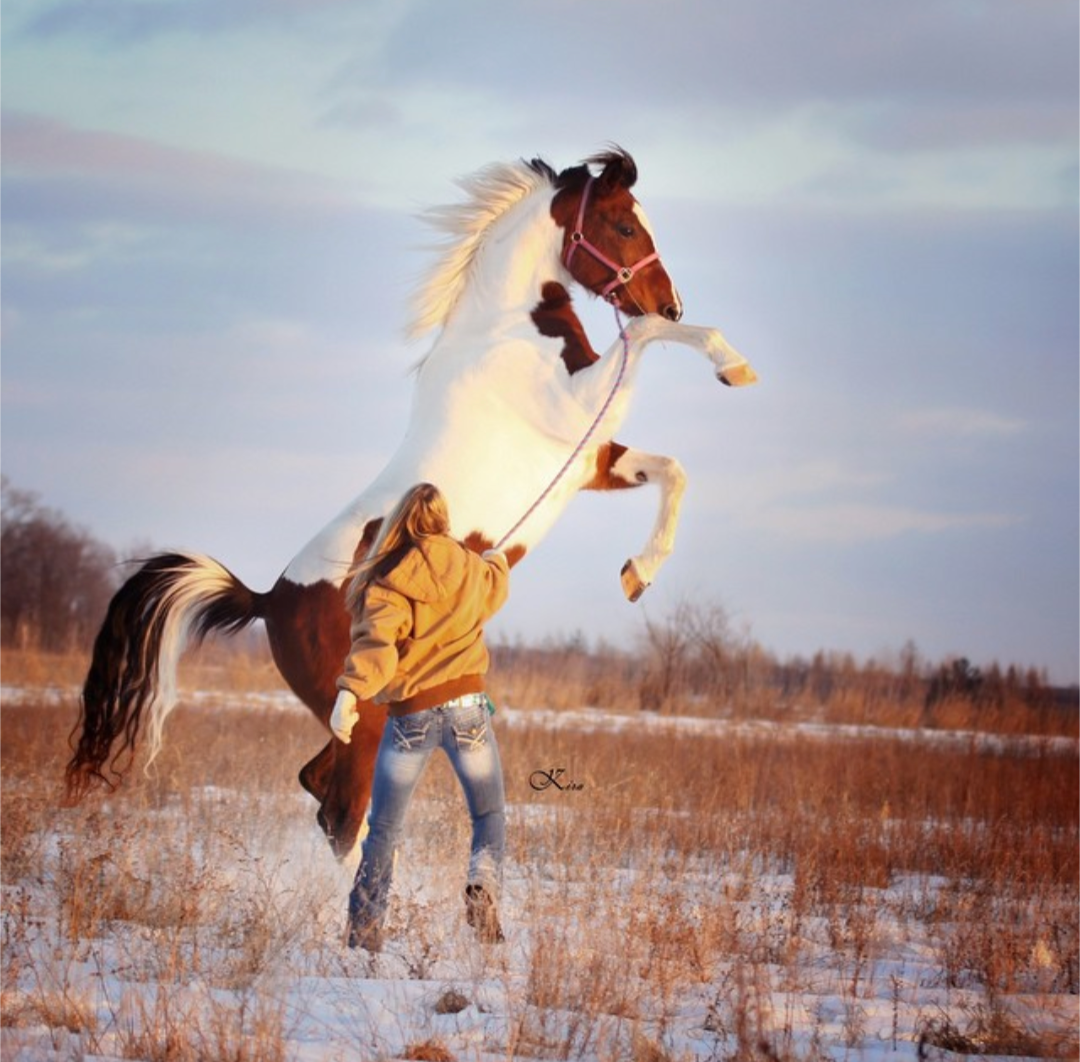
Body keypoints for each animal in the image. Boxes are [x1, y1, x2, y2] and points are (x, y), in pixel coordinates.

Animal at [65, 147, 757, 863]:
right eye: (623, 225)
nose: (671, 302)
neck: (504, 330)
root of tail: (268, 601)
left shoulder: (589, 457)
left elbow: (673, 471)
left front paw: (637, 575)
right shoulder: (582, 408)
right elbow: (643, 338)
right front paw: (732, 364)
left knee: (322, 788)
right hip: (362, 714)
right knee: (341, 810)